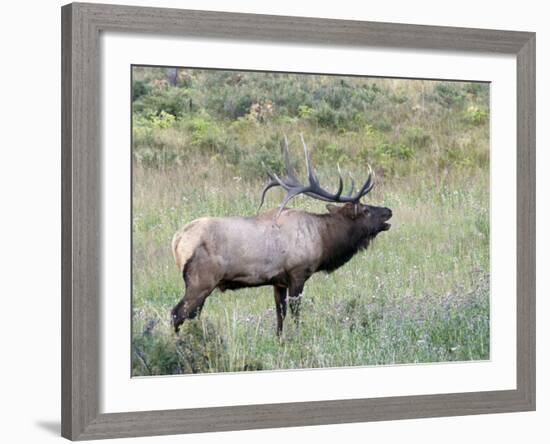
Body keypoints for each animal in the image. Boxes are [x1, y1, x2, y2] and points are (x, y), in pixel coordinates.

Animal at [171, 134, 392, 334]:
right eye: (365, 210)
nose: (388, 211)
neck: (322, 239)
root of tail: (177, 240)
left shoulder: (278, 281)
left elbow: (280, 316)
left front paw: (280, 340)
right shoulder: (297, 274)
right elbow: (295, 314)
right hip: (201, 281)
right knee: (176, 313)